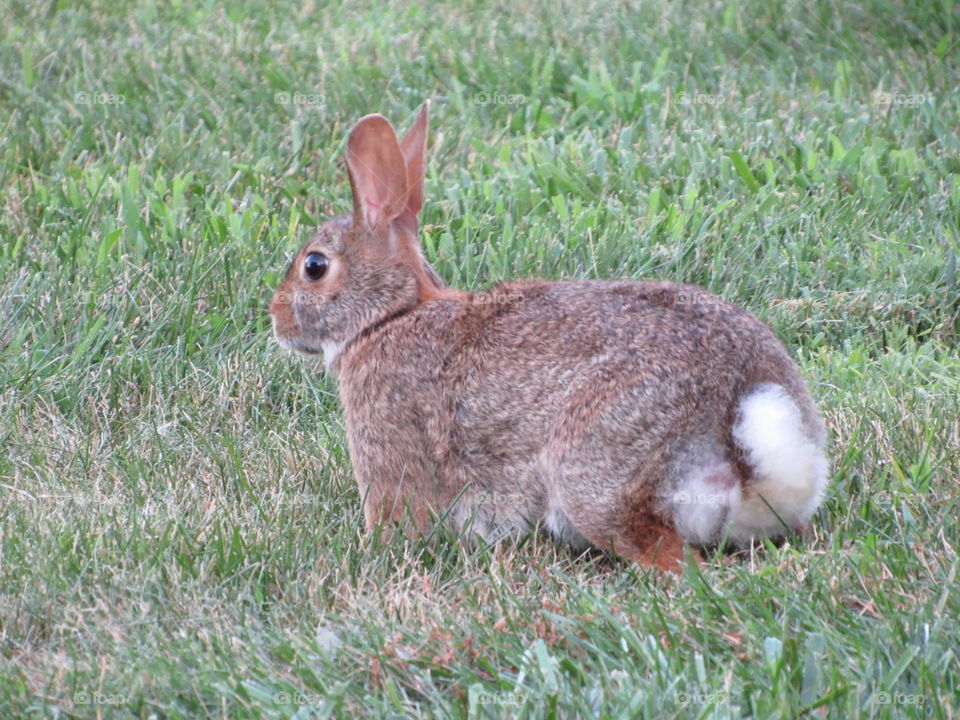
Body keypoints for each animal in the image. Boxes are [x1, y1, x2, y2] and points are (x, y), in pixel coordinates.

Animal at [269, 102, 829, 571]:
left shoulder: (389, 449)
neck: (391, 315)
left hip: (594, 473)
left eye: (314, 267)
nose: (276, 320)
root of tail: (740, 407)